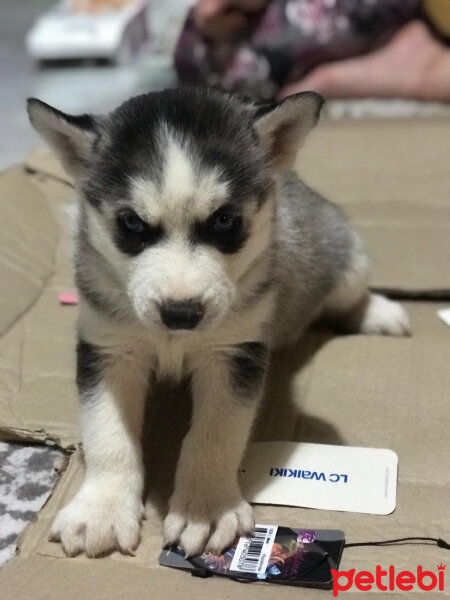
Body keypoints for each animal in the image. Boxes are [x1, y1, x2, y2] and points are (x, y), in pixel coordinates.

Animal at [26, 88, 410, 556]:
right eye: (131, 223)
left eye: (224, 220)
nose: (181, 313)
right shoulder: (109, 348)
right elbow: (107, 434)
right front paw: (102, 509)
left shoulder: (234, 353)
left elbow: (215, 434)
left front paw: (205, 509)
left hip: (344, 259)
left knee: (350, 292)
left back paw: (378, 312)